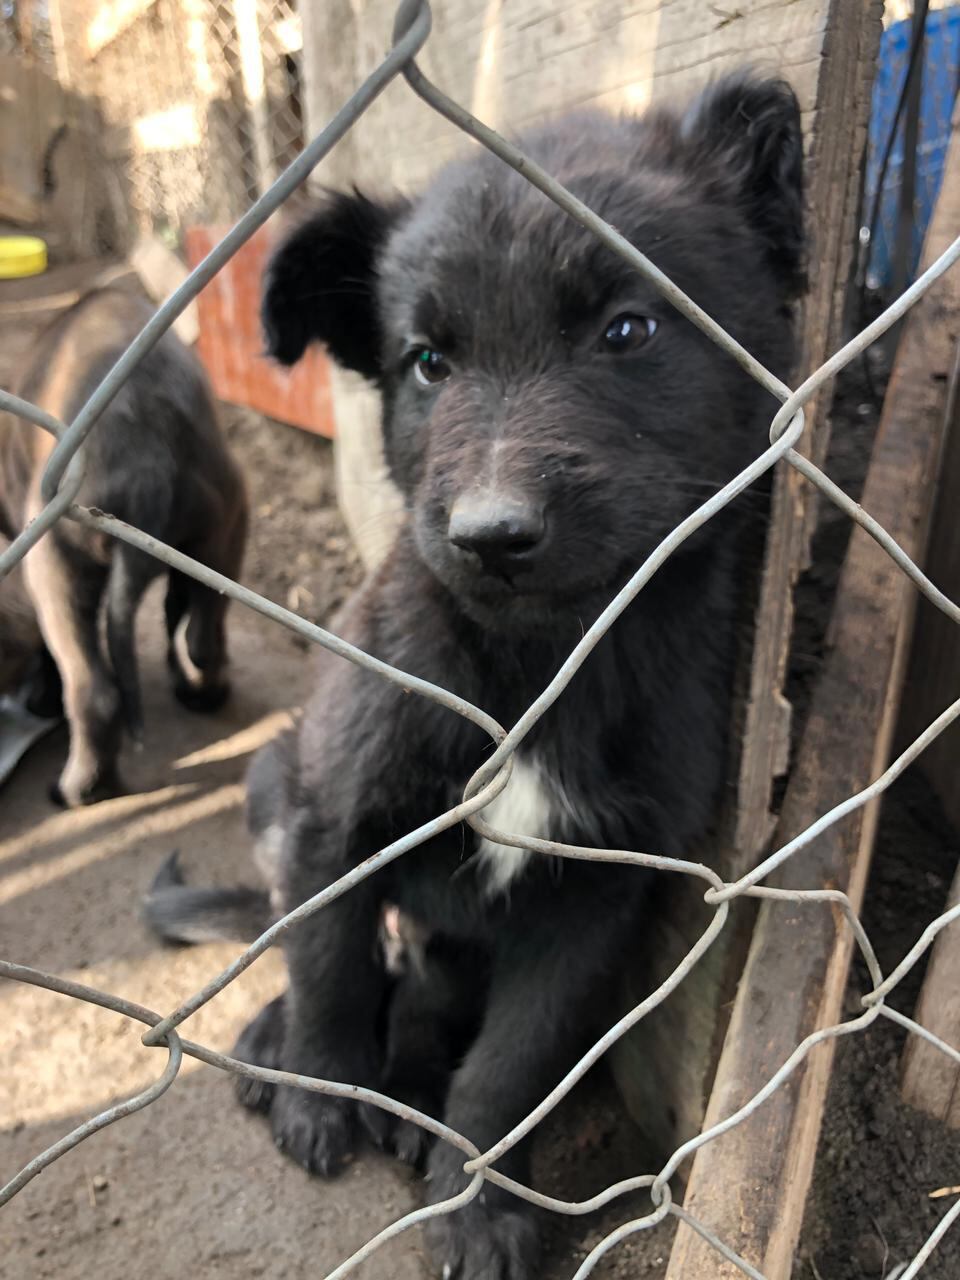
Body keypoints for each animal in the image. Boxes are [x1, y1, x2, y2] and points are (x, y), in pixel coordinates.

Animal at [146, 74, 808, 1274]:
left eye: (628, 330)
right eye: (428, 363)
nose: (491, 535)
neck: (540, 671)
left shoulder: (594, 893)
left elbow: (513, 1065)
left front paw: (481, 1201)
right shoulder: (333, 815)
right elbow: (328, 964)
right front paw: (319, 1093)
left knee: (429, 987)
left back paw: (415, 1093)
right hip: (274, 778)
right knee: (320, 940)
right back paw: (282, 1044)